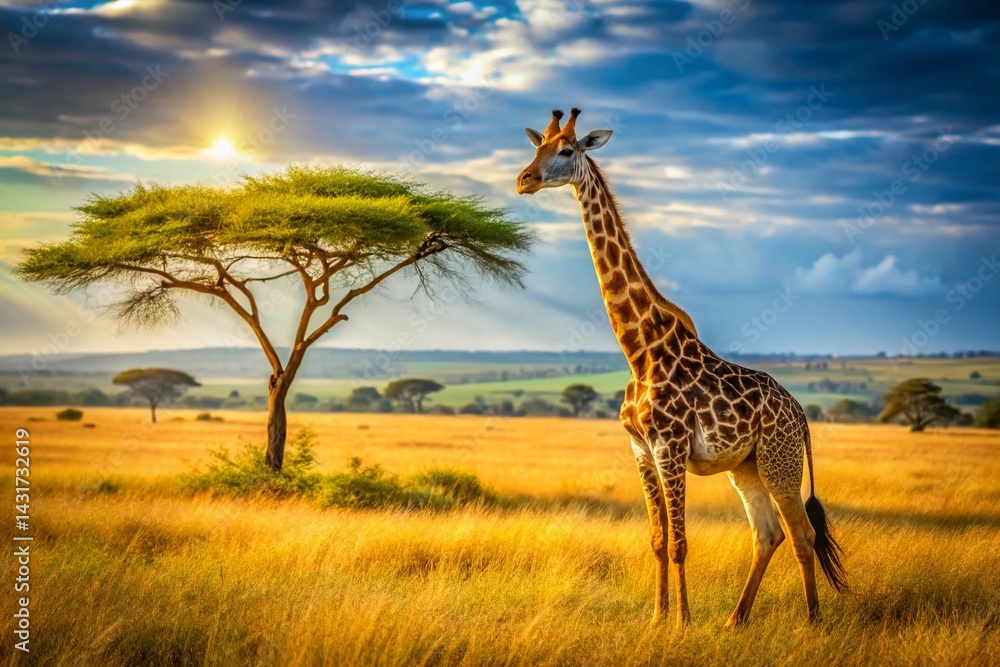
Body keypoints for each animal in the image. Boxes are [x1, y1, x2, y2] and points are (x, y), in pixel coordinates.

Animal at [516, 108, 847, 628]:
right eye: (538, 145)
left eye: (567, 150)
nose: (524, 180)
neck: (640, 350)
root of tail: (801, 416)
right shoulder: (640, 449)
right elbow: (657, 540)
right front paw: (657, 617)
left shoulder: (669, 446)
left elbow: (680, 543)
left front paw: (683, 623)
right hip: (747, 466)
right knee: (768, 533)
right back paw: (736, 619)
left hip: (780, 461)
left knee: (802, 533)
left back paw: (811, 621)